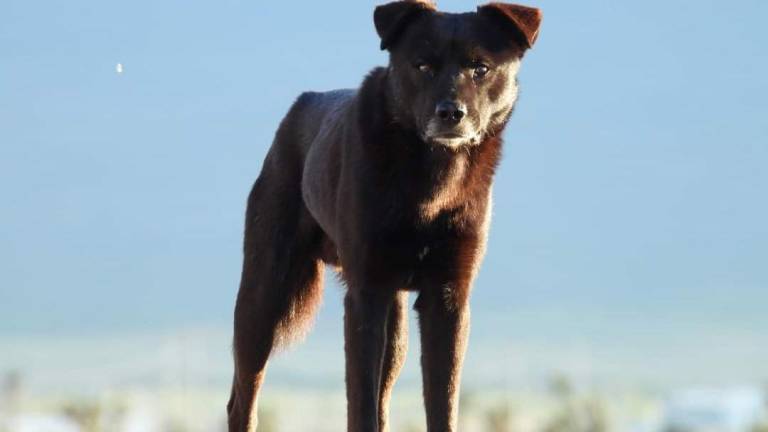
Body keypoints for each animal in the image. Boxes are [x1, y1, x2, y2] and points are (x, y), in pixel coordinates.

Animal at [226, 1, 540, 430]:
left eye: (481, 68)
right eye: (422, 65)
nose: (450, 113)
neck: (432, 177)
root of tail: (302, 104)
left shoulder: (448, 297)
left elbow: (442, 401)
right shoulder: (366, 294)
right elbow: (360, 403)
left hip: (396, 326)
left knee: (384, 397)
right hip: (264, 294)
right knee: (243, 398)